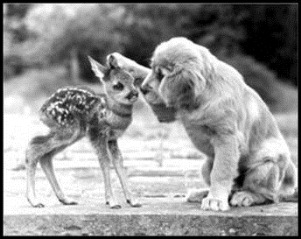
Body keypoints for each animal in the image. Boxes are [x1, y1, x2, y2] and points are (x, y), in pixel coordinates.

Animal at [107, 36, 296, 210]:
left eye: (162, 75)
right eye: (154, 70)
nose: (143, 89)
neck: (202, 94)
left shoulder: (226, 138)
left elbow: (221, 172)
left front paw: (215, 200)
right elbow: (142, 70)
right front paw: (119, 60)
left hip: (265, 166)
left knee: (269, 195)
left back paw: (245, 196)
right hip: (206, 164)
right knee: (228, 186)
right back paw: (202, 193)